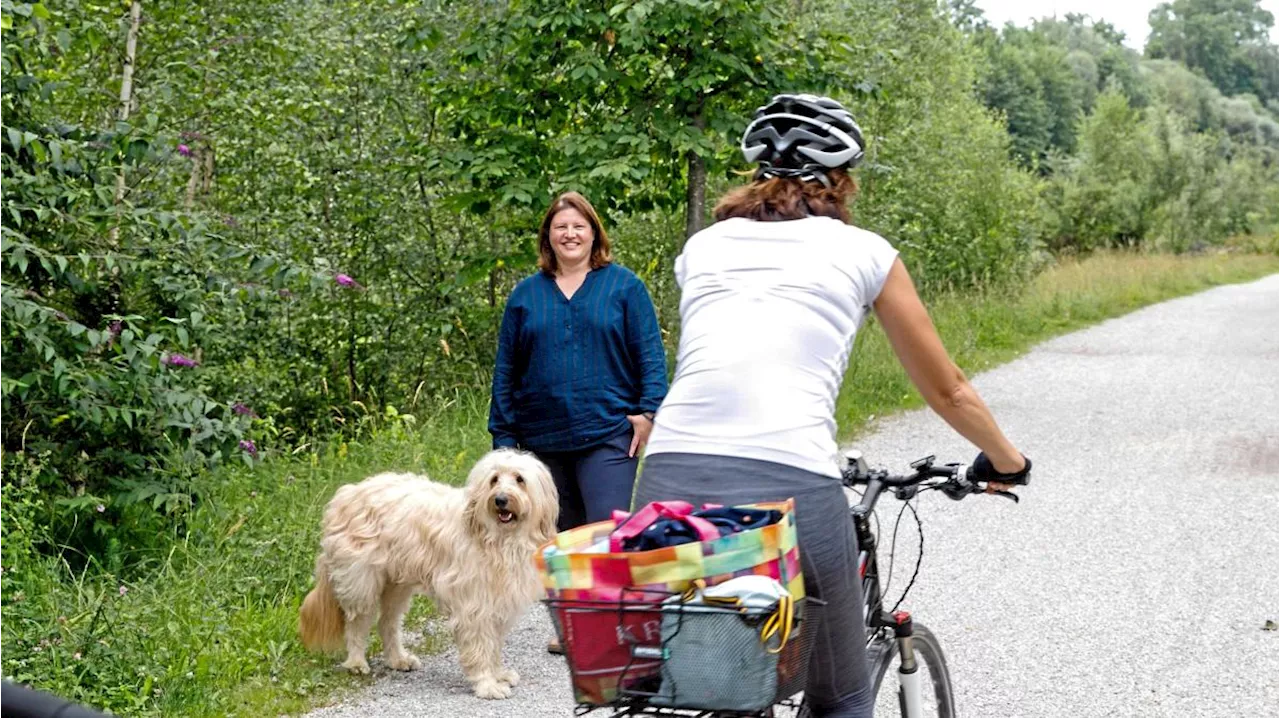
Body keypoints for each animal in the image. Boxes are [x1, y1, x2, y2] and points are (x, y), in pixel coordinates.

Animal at [302, 450, 563, 696]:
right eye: (494, 479)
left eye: (520, 479)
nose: (500, 499)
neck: (498, 539)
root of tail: (347, 494)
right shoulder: (474, 606)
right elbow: (480, 647)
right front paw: (487, 684)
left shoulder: (498, 603)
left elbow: (494, 645)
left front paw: (498, 674)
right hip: (361, 579)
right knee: (357, 622)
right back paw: (356, 663)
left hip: (396, 583)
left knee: (388, 623)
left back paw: (398, 659)